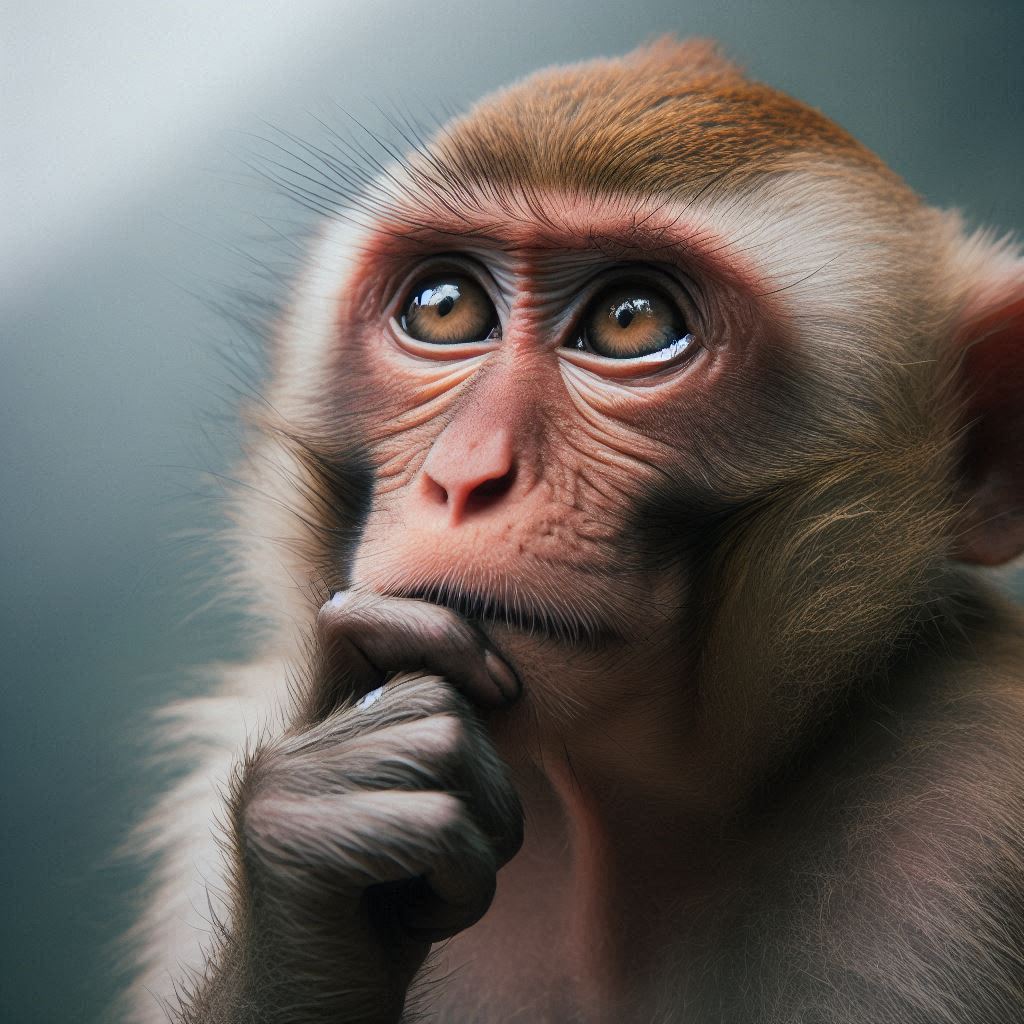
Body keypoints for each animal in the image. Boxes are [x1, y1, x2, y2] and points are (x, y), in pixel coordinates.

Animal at [124, 38, 1024, 1024]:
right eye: (445, 306)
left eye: (631, 321)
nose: (466, 475)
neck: (601, 818)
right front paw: (314, 857)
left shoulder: (976, 797)